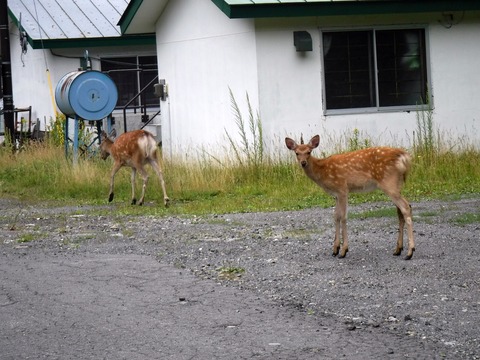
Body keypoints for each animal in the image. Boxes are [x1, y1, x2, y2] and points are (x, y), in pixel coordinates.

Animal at [286, 134, 414, 258]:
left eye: (309, 151)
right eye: (297, 152)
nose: (303, 163)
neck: (322, 171)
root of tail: (404, 157)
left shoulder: (342, 189)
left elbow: (343, 217)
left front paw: (343, 250)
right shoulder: (336, 195)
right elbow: (336, 216)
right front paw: (335, 249)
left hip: (388, 182)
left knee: (405, 207)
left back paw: (410, 251)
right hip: (396, 184)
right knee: (400, 211)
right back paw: (398, 249)